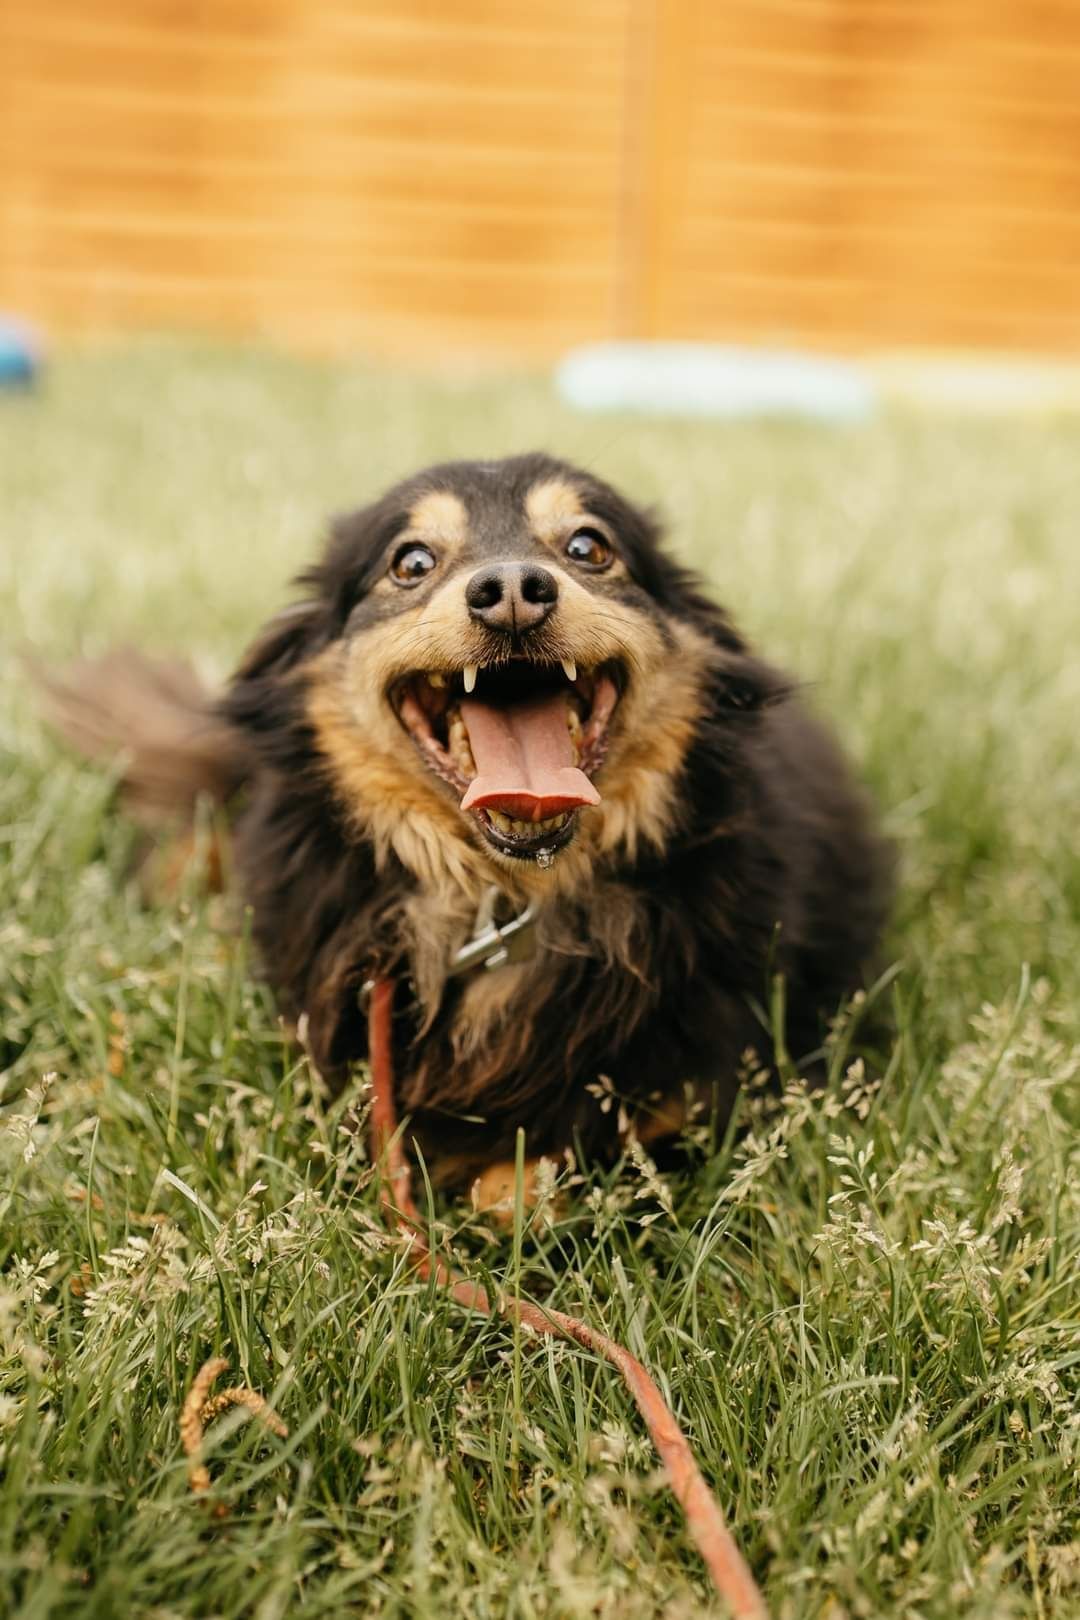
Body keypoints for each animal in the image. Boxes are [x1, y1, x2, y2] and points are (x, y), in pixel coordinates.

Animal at [42, 456, 893, 1205]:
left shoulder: (711, 1090)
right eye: (412, 561)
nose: (513, 588)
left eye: (588, 546)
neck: (503, 898)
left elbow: (527, 1179)